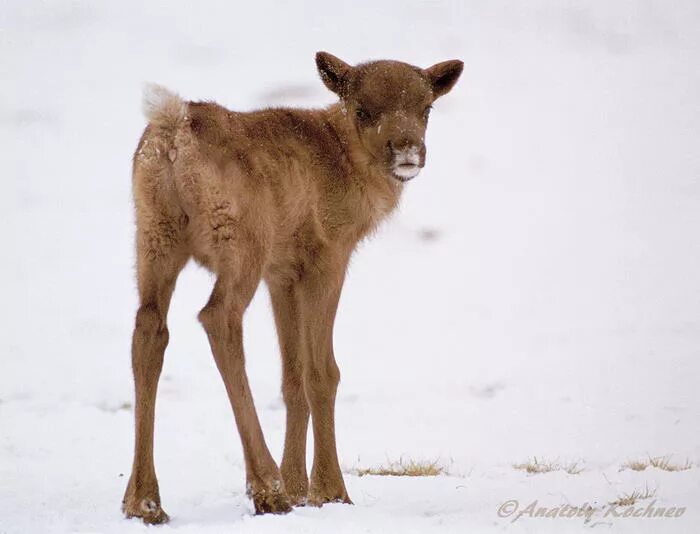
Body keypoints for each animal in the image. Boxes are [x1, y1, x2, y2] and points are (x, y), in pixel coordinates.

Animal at [123, 52, 462, 524]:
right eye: (362, 109)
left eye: (426, 107)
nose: (408, 150)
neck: (347, 163)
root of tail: (172, 132)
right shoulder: (327, 258)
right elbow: (322, 373)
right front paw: (329, 491)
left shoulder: (281, 274)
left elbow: (292, 376)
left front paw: (300, 487)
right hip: (241, 243)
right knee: (218, 317)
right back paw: (266, 487)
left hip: (154, 236)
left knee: (149, 328)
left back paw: (143, 501)